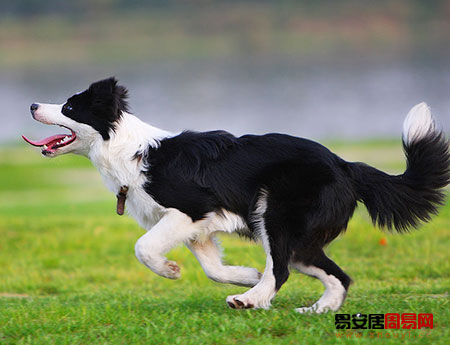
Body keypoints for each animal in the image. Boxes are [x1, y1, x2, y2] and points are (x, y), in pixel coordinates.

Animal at [23, 77, 450, 312]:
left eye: (69, 106)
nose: (31, 104)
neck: (127, 150)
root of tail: (347, 165)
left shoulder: (191, 208)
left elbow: (143, 247)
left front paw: (170, 270)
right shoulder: (197, 228)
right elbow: (213, 268)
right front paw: (245, 276)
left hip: (274, 215)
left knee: (282, 268)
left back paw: (252, 301)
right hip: (300, 239)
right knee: (335, 275)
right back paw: (314, 309)